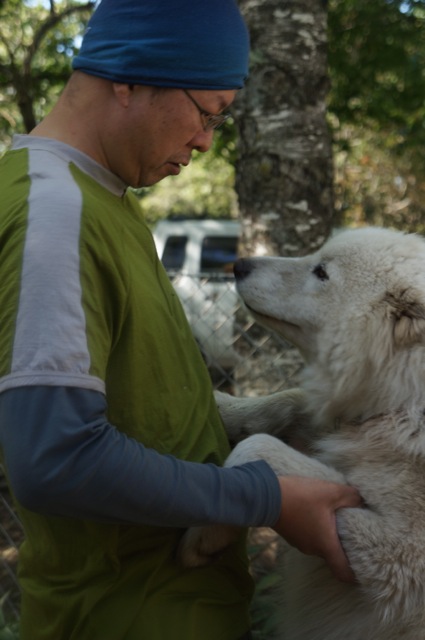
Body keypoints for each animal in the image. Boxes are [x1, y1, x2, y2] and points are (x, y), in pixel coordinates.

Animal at [178, 229, 425, 640]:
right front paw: (224, 407)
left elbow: (259, 447)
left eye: (321, 272)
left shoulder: (399, 558)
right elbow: (289, 402)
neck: (405, 400)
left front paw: (206, 536)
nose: (239, 265)